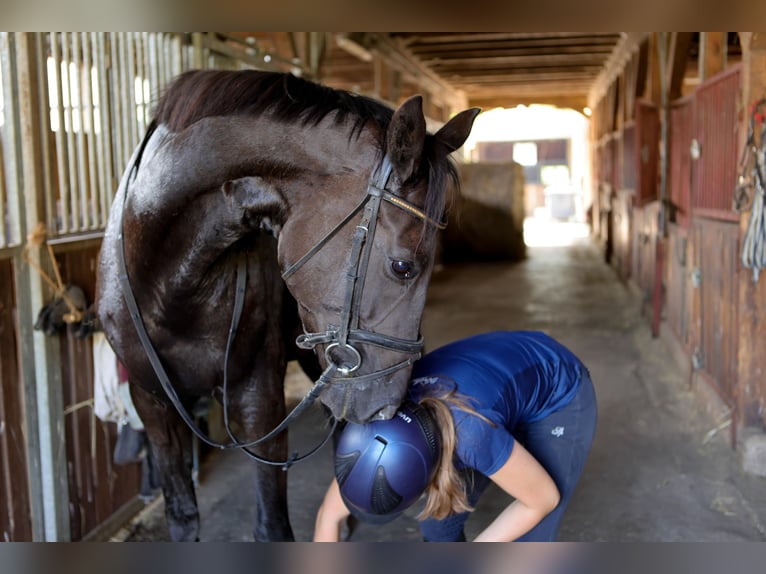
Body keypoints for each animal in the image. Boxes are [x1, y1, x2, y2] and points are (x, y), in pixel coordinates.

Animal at [97, 70, 480, 544]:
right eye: (403, 266)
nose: (386, 409)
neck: (168, 280)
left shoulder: (257, 398)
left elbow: (273, 526)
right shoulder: (151, 403)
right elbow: (183, 517)